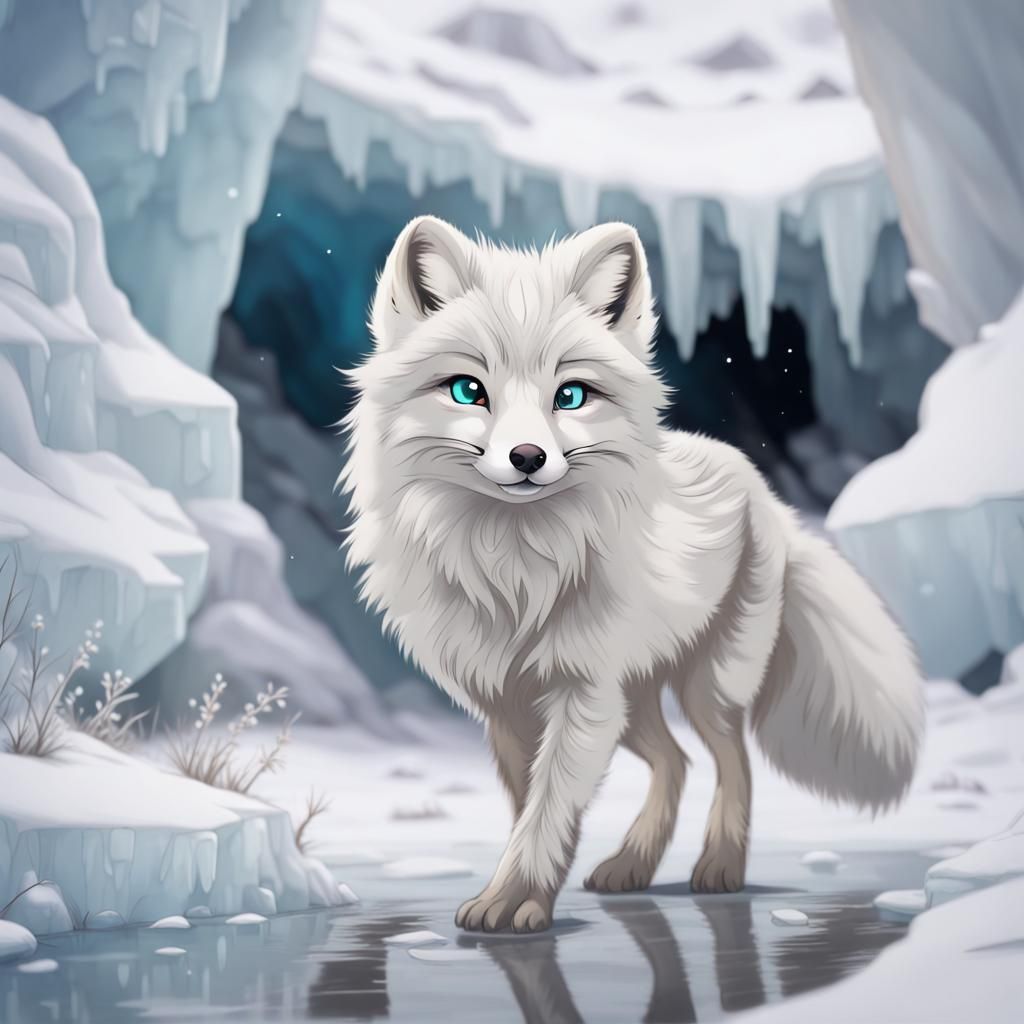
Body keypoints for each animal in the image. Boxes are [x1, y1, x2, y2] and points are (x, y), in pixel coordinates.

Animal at [340, 215, 923, 934]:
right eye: (467, 390)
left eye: (570, 396)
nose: (528, 457)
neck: (515, 570)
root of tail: (768, 496)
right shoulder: (506, 704)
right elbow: (529, 806)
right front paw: (530, 890)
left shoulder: (581, 694)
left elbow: (548, 808)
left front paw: (515, 900)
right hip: (633, 703)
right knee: (676, 760)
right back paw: (632, 866)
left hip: (703, 689)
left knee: (731, 760)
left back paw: (721, 866)